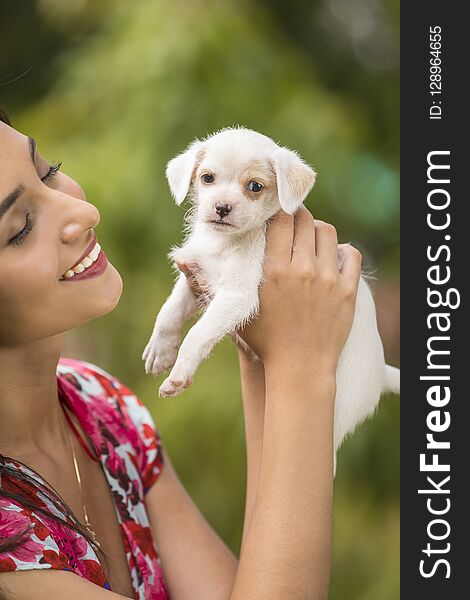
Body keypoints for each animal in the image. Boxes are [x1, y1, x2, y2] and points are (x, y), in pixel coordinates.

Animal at [143, 125, 400, 464]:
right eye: (207, 178)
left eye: (254, 186)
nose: (221, 207)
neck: (222, 243)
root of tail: (380, 371)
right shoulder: (196, 278)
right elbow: (169, 310)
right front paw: (160, 350)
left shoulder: (236, 295)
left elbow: (198, 333)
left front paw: (179, 373)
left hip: (336, 412)